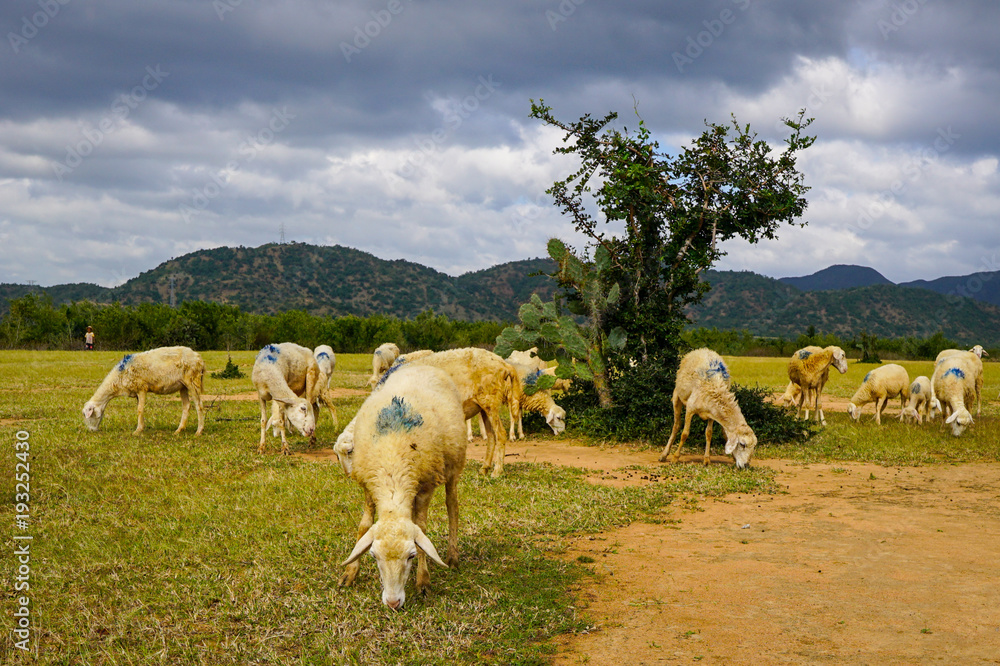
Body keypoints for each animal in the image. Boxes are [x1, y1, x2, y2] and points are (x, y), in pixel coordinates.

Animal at [338, 364, 466, 609]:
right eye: (374, 556)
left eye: (411, 556)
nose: (393, 603)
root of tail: (423, 364)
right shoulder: (369, 487)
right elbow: (364, 526)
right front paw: (350, 572)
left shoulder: (425, 487)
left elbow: (422, 527)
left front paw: (423, 581)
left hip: (453, 466)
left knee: (452, 506)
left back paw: (453, 556)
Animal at [387, 348, 521, 477]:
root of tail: (504, 364)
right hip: (484, 405)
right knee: (492, 436)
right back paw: (484, 469)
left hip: (490, 400)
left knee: (501, 434)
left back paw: (497, 471)